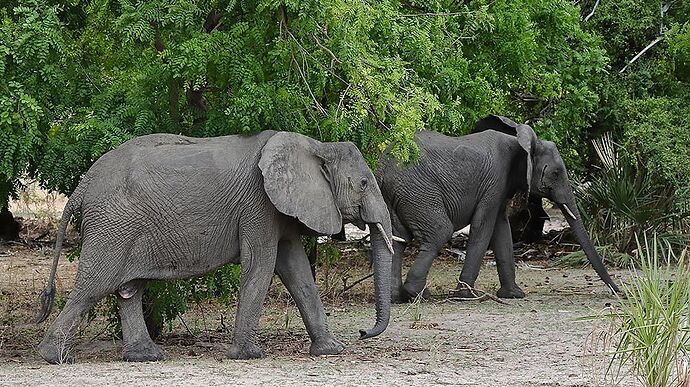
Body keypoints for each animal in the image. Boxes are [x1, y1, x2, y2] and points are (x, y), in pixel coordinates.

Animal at [36, 130, 392, 364]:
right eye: (363, 183)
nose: (363, 332)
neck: (317, 146)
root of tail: (84, 181)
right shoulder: (258, 205)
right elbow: (261, 264)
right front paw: (248, 355)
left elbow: (297, 271)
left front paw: (331, 350)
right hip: (112, 226)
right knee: (93, 287)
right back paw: (54, 358)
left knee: (128, 289)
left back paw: (146, 357)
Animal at [376, 115, 620, 304]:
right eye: (556, 173)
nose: (619, 292)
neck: (520, 143)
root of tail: (382, 165)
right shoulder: (494, 181)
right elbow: (483, 228)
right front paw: (466, 296)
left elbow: (502, 230)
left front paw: (513, 295)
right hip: (418, 193)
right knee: (439, 232)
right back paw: (416, 294)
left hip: (397, 196)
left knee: (397, 240)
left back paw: (396, 298)